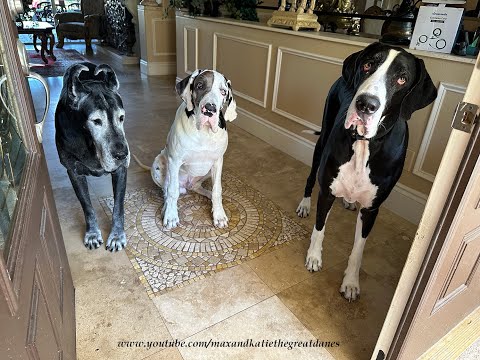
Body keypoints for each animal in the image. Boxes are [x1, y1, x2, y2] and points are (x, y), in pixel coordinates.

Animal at [55, 62, 129, 252]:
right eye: (96, 121)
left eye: (121, 117)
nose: (122, 155)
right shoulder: (74, 172)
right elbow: (87, 207)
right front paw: (93, 234)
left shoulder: (120, 170)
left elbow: (118, 206)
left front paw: (117, 236)